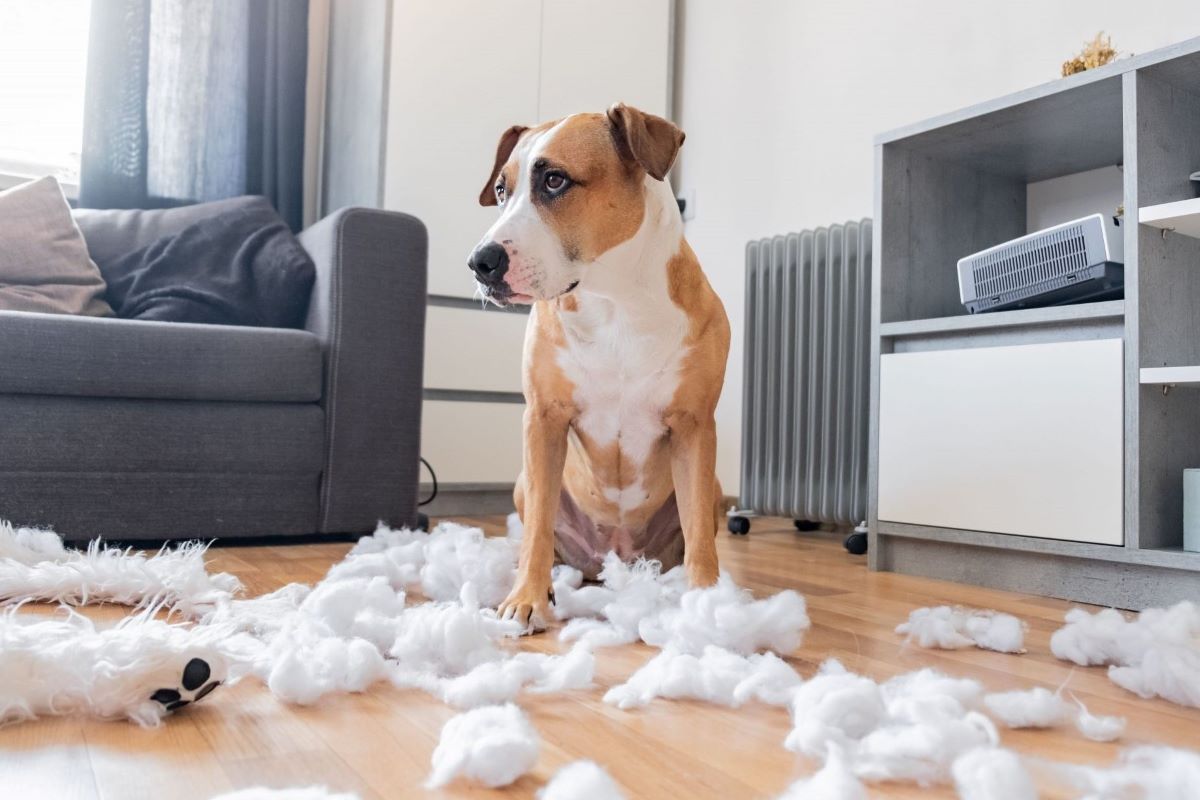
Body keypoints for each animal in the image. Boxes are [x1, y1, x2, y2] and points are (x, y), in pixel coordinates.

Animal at [468, 103, 729, 628]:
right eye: (502, 189)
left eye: (554, 180)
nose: (480, 262)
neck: (614, 300)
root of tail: (615, 558)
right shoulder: (544, 419)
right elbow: (538, 528)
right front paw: (526, 598)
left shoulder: (694, 426)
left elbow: (699, 536)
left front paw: (704, 604)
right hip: (524, 483)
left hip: (713, 485)